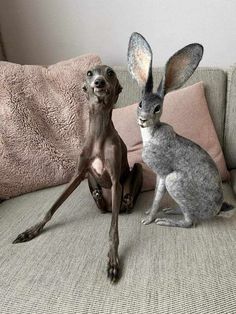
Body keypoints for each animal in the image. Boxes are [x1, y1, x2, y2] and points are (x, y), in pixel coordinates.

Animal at [13, 65, 143, 284]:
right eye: (90, 73)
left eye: (110, 72)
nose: (99, 82)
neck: (99, 133)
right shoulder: (78, 174)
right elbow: (52, 207)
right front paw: (31, 230)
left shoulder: (115, 181)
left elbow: (113, 230)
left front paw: (113, 260)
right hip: (90, 178)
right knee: (99, 199)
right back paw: (98, 197)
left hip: (137, 171)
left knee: (127, 195)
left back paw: (126, 201)